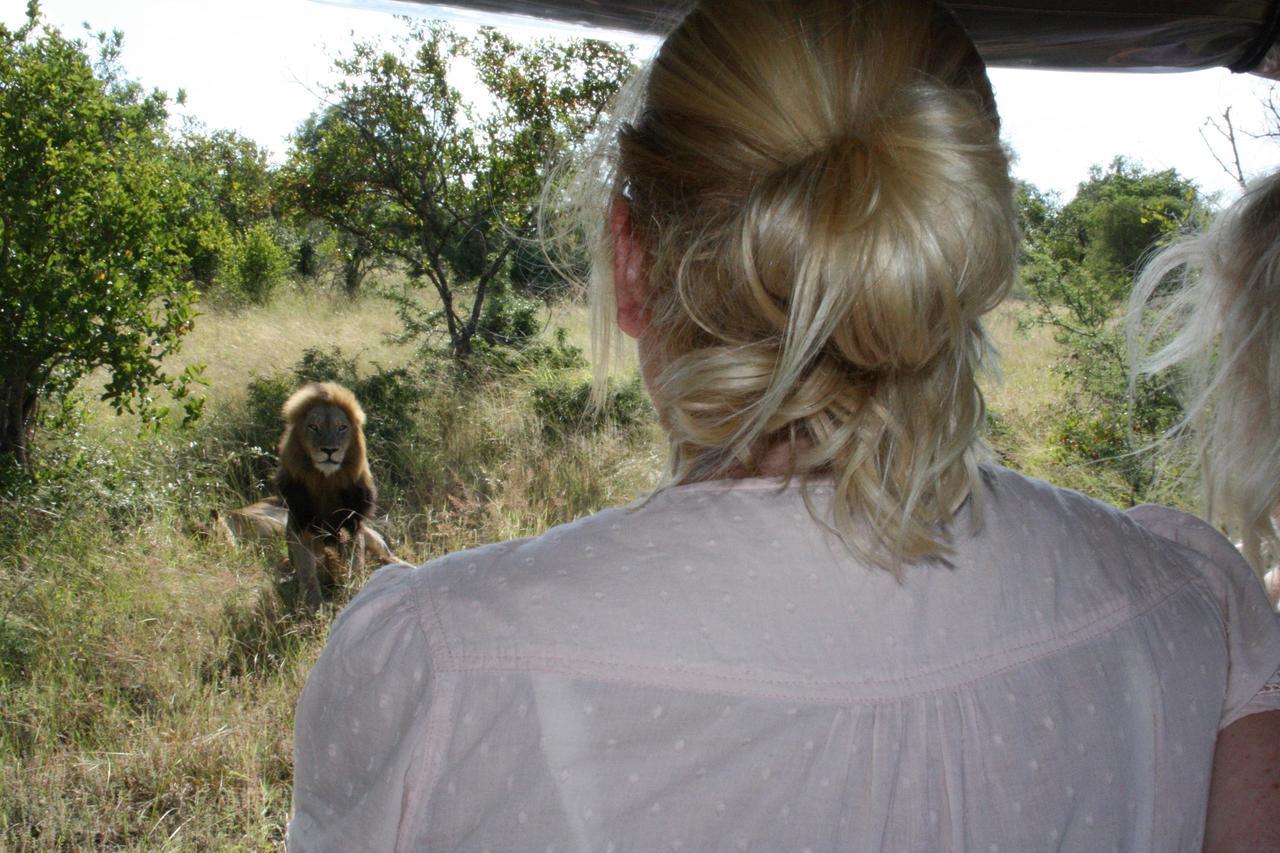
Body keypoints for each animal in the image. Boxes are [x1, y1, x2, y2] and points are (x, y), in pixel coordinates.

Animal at [277, 381, 376, 607]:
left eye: (342, 427)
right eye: (314, 427)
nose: (329, 450)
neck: (325, 481)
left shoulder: (352, 524)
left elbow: (355, 563)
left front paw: (354, 593)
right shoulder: (300, 525)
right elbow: (307, 570)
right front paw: (313, 605)